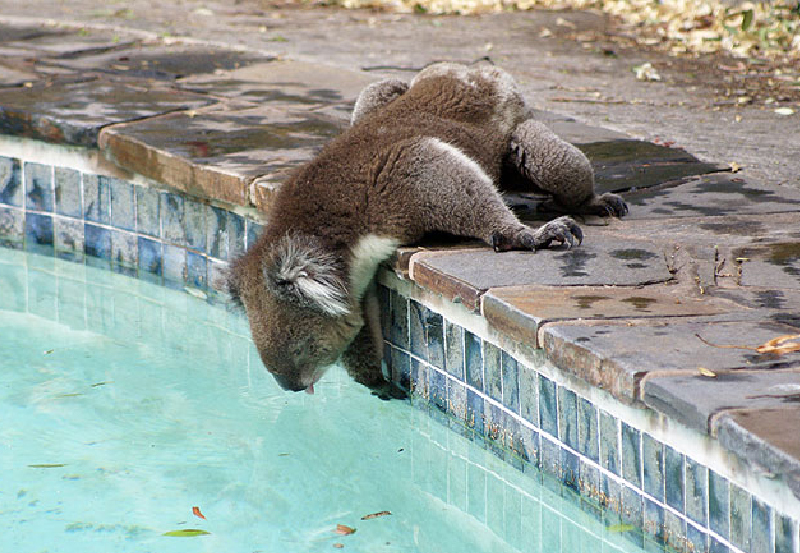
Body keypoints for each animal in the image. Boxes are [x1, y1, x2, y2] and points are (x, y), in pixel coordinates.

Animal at [228, 63, 627, 396]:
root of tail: (469, 70)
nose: (291, 386)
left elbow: (445, 175)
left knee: (559, 163)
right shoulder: (358, 281)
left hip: (529, 142)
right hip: (378, 96)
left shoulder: (400, 180)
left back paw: (590, 203)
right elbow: (365, 326)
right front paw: (379, 384)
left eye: (302, 346)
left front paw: (530, 235)